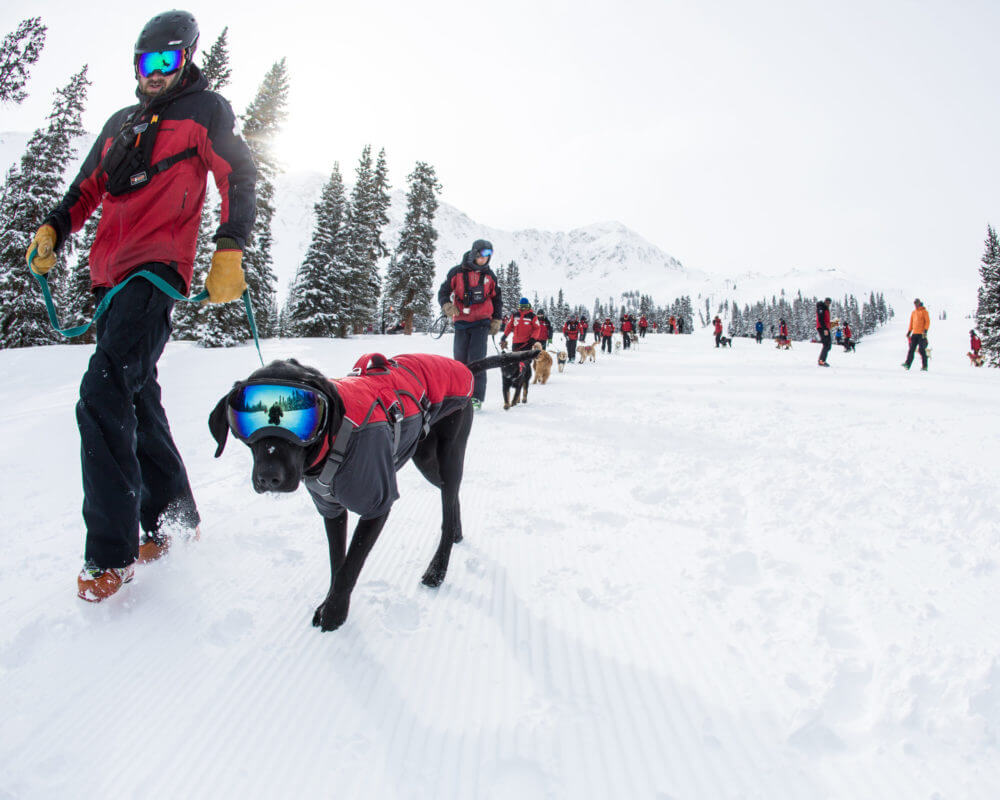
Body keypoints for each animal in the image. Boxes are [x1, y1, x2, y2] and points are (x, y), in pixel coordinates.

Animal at [207, 350, 536, 632]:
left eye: (301, 419)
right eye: (245, 426)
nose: (268, 477)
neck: (334, 444)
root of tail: (463, 367)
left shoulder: (378, 505)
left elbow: (351, 564)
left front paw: (335, 614)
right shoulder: (331, 509)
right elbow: (337, 561)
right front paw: (329, 603)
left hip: (450, 453)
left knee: (448, 501)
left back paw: (438, 569)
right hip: (426, 461)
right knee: (451, 496)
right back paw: (457, 532)